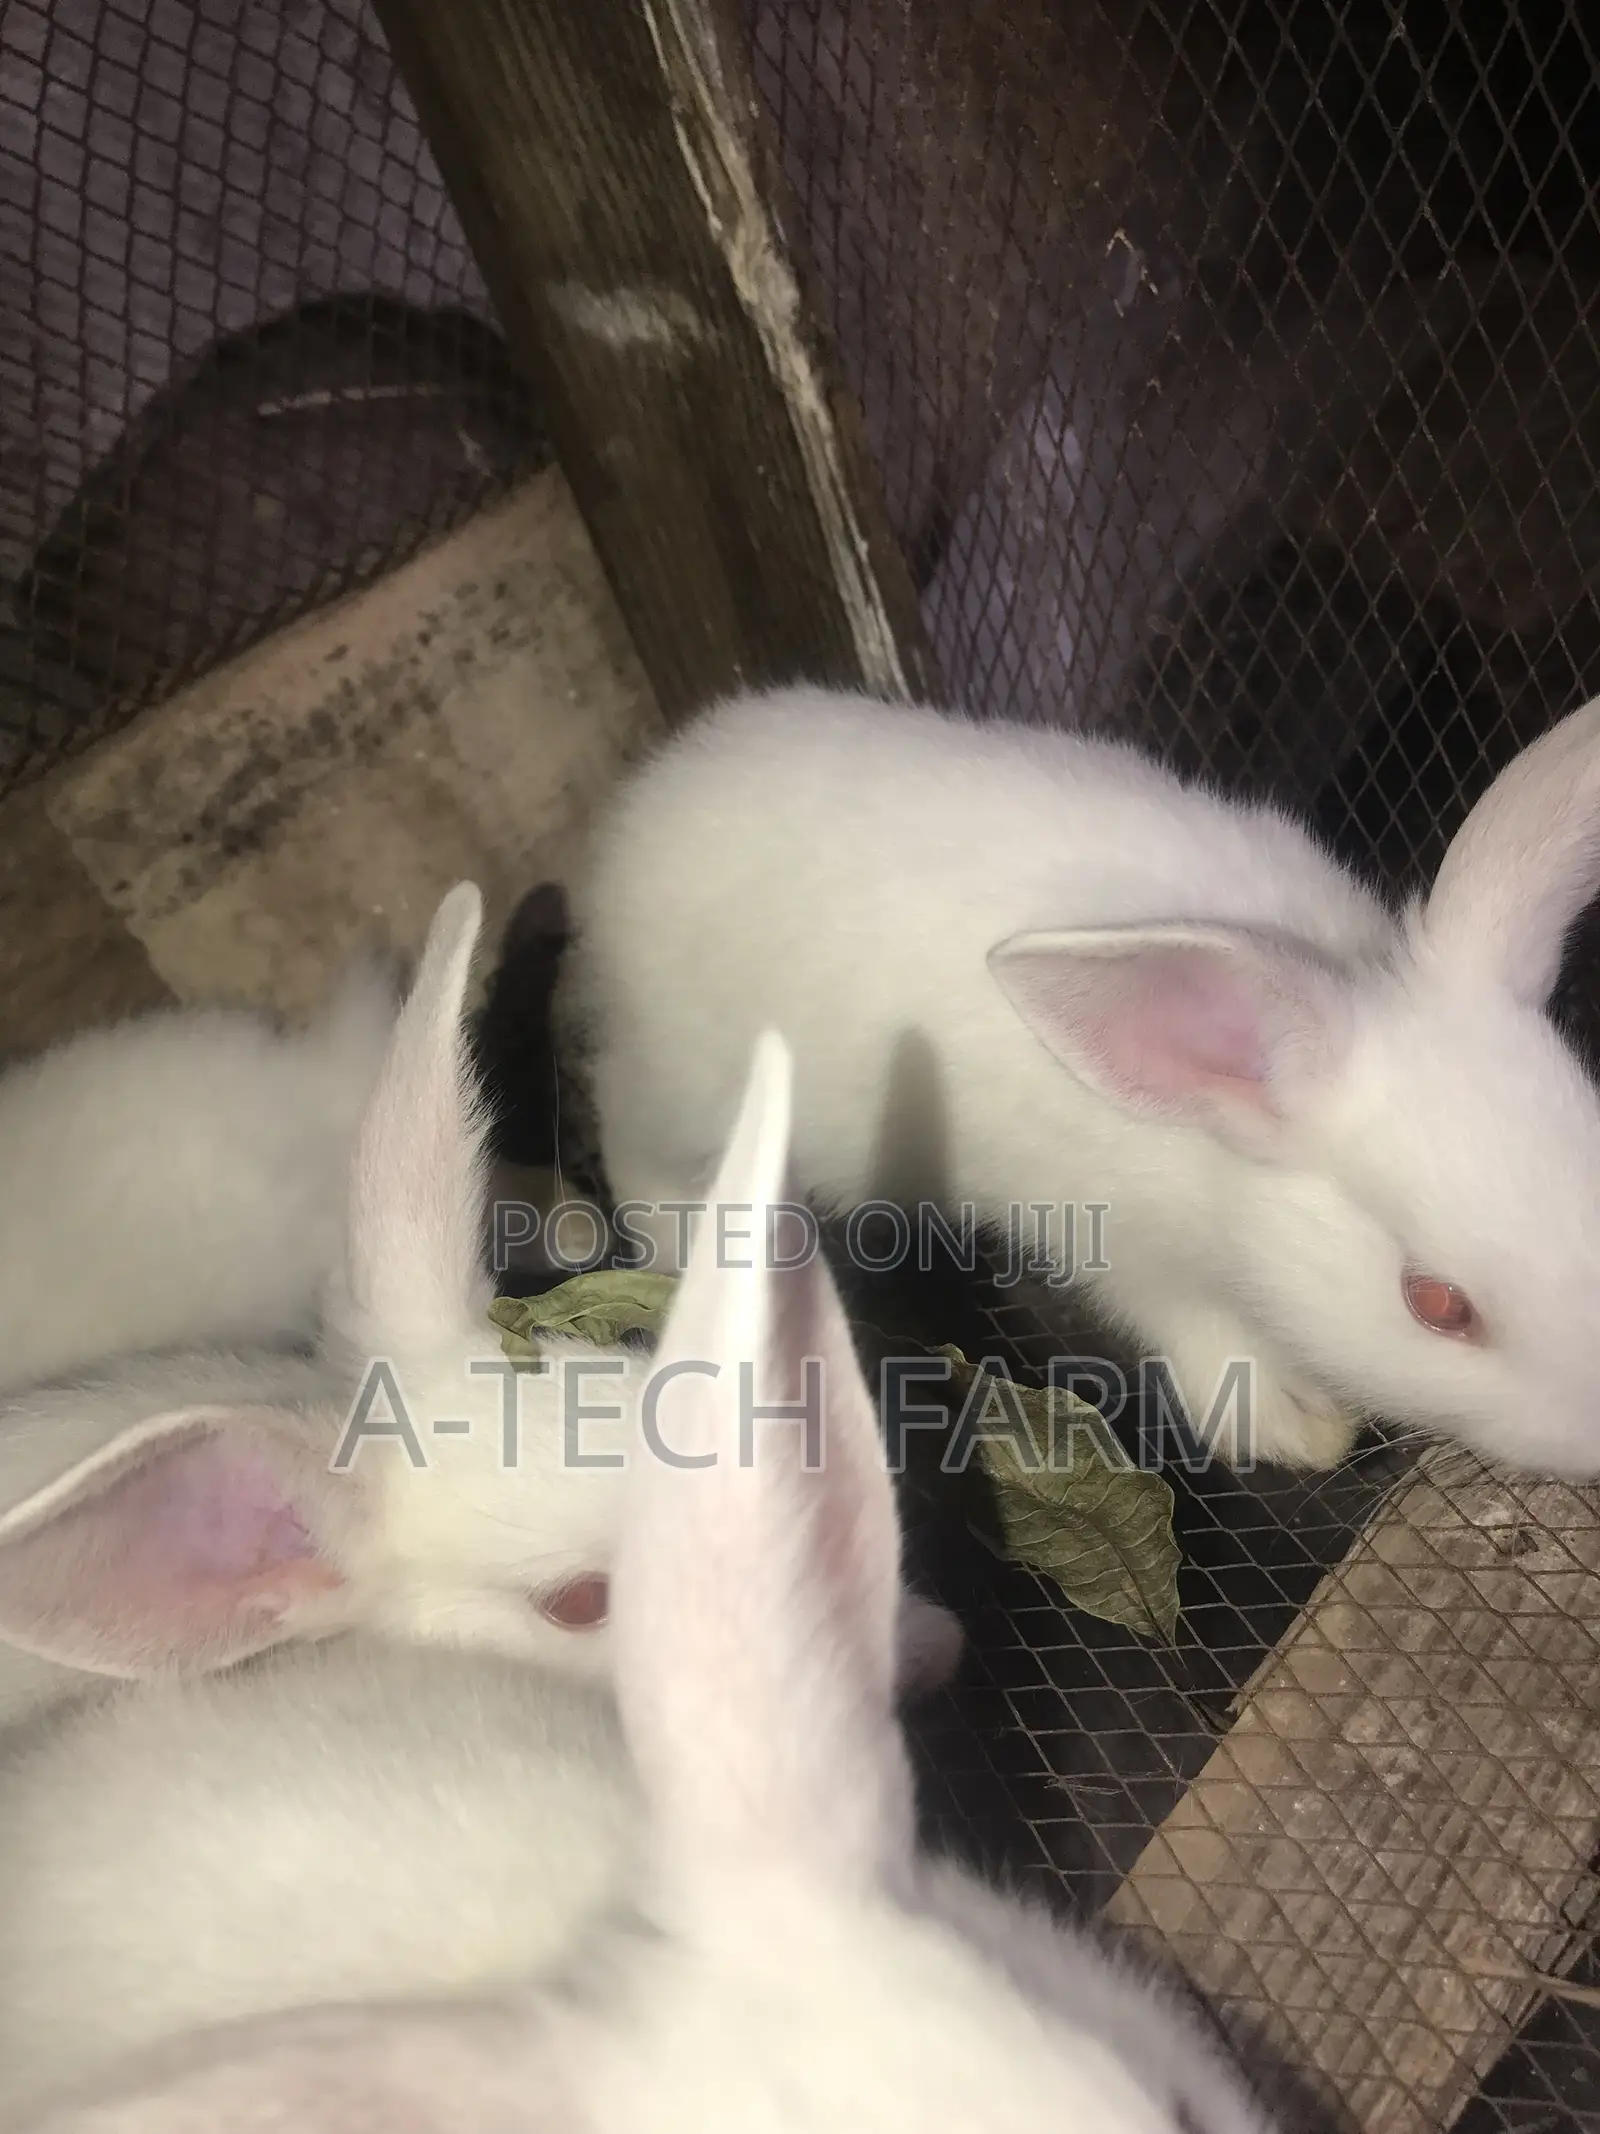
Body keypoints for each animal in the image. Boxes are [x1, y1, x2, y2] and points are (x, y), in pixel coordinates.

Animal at [561, 682, 1600, 1478]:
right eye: (1437, 1305)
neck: (1220, 1163)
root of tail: (636, 816)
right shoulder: (1128, 1254)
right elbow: (1204, 1335)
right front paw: (1297, 1424)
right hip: (684, 1081)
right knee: (623, 1116)